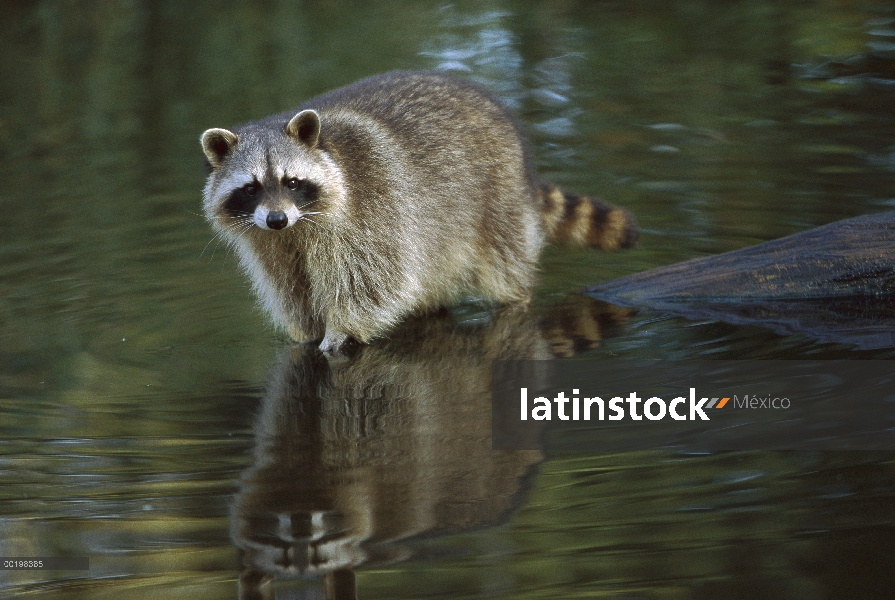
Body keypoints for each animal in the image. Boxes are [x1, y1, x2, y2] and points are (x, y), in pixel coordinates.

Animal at [203, 71, 636, 352]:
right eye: (251, 188)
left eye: (291, 181)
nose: (276, 219)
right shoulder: (268, 244)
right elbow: (291, 288)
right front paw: (307, 331)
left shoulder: (372, 211)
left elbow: (374, 280)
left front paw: (339, 329)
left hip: (498, 194)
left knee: (504, 261)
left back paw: (514, 298)